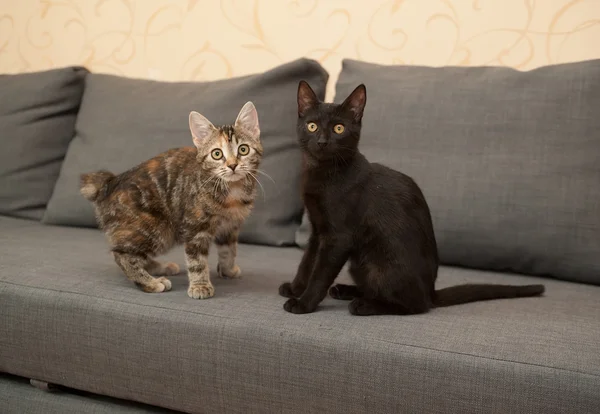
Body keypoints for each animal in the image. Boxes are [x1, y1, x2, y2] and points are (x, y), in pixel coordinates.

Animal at [79, 102, 260, 300]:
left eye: (243, 149)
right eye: (217, 154)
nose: (232, 165)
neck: (231, 190)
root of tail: (110, 182)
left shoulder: (230, 226)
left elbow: (229, 250)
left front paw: (228, 270)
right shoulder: (194, 228)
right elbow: (197, 260)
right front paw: (200, 286)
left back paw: (160, 268)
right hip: (156, 228)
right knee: (123, 254)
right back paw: (150, 282)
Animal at [278, 81, 548, 316]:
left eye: (339, 129)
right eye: (312, 126)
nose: (322, 142)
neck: (323, 174)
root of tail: (431, 290)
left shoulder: (338, 238)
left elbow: (321, 273)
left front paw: (304, 303)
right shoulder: (317, 230)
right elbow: (307, 261)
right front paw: (296, 288)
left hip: (379, 263)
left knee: (415, 305)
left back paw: (364, 305)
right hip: (359, 264)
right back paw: (347, 290)